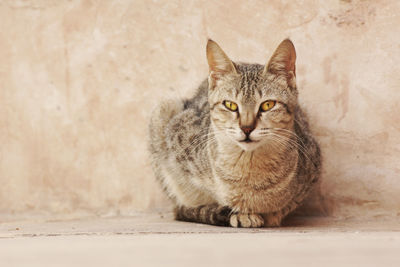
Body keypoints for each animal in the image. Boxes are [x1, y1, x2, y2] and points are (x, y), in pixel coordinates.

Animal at [148, 38, 320, 228]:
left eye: (267, 105)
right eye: (230, 105)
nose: (246, 128)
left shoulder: (312, 163)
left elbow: (287, 204)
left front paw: (272, 214)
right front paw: (240, 213)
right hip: (162, 113)